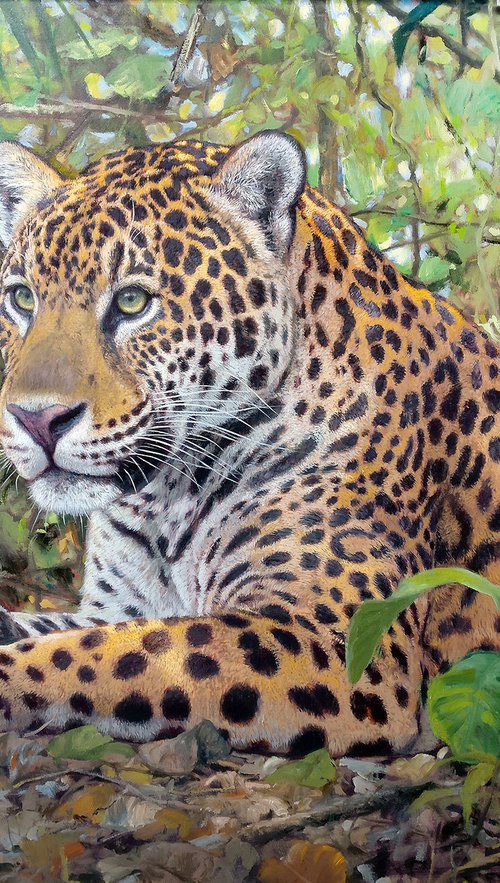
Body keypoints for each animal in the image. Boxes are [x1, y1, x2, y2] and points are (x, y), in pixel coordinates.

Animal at [0, 131, 497, 758]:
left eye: (133, 302)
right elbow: (76, 636)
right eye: (21, 299)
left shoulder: (338, 641)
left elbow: (102, 656)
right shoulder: (116, 608)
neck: (163, 501)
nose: (36, 419)